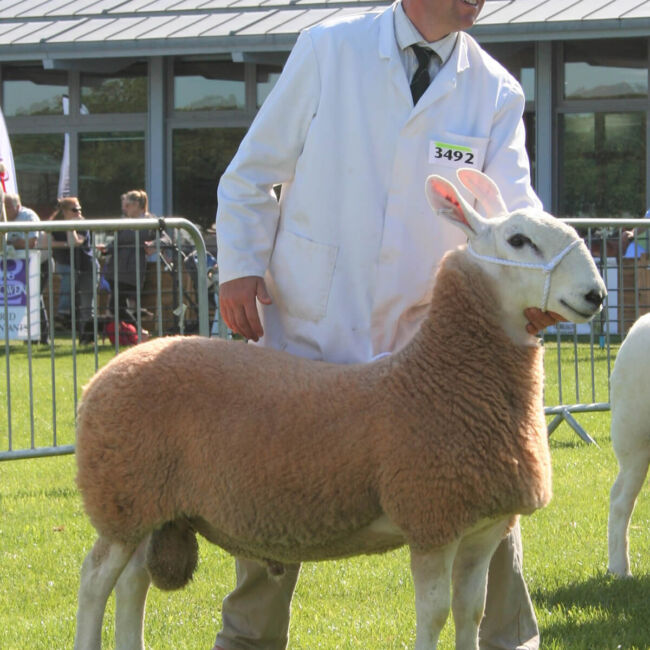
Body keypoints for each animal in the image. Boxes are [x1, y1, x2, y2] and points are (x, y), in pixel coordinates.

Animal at [74, 168, 606, 650]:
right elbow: (434, 615)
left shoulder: (484, 525)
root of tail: (109, 370)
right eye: (519, 240)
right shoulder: (431, 519)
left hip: (147, 504)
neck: (441, 380)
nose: (596, 295)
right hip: (121, 495)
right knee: (94, 582)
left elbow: (469, 613)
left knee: (132, 584)